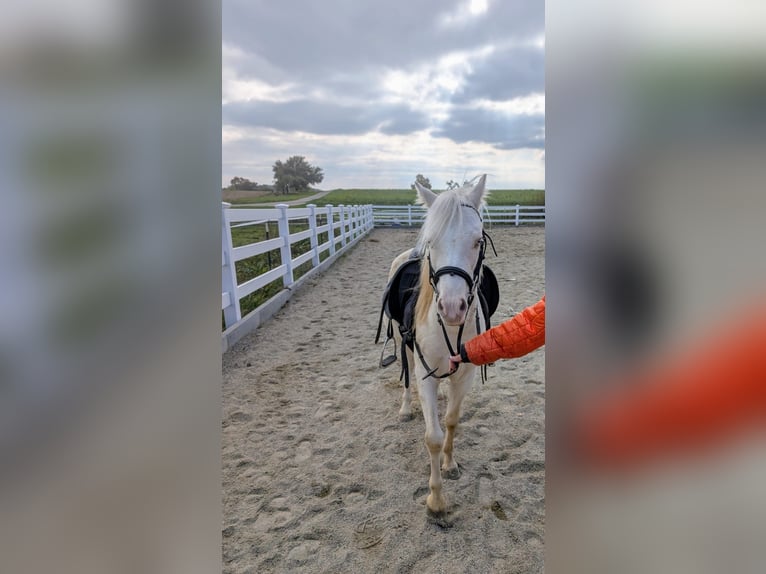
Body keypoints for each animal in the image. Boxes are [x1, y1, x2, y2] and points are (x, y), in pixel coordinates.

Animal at [383, 175, 492, 515]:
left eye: (478, 241)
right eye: (432, 243)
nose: (452, 308)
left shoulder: (465, 375)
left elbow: (452, 422)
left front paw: (450, 464)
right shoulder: (425, 373)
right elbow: (432, 435)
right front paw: (436, 499)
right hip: (404, 348)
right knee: (406, 377)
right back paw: (406, 408)